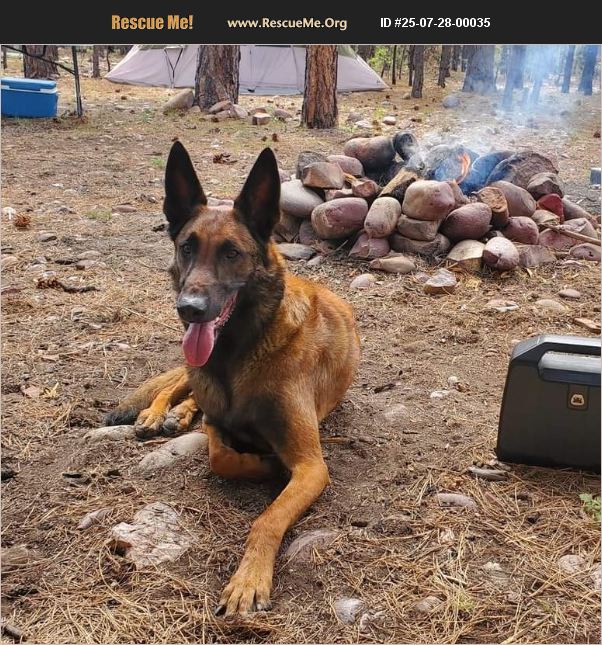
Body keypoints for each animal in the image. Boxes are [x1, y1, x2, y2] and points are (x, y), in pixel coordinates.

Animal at [105, 141, 360, 615]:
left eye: (231, 253)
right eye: (187, 247)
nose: (189, 309)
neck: (237, 357)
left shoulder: (312, 466)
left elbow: (267, 518)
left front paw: (248, 580)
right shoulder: (217, 417)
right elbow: (219, 455)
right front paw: (260, 462)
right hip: (192, 372)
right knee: (178, 385)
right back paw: (156, 414)